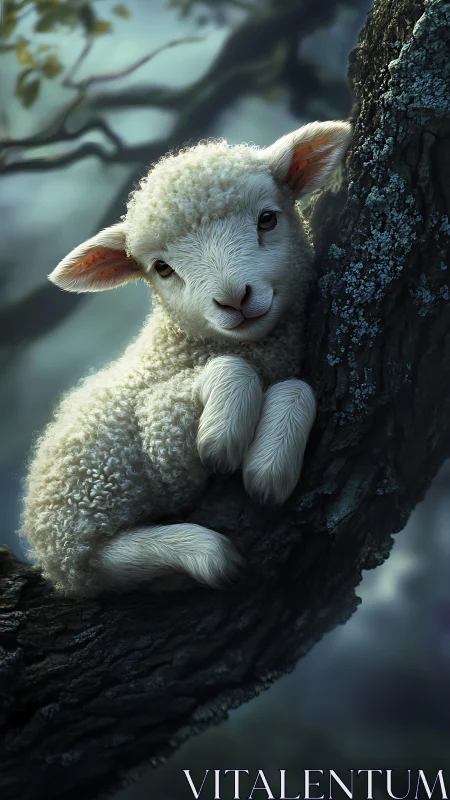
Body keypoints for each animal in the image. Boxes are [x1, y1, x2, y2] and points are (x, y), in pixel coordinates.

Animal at [20, 120, 352, 597]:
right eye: (162, 268)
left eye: (267, 218)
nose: (234, 299)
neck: (180, 345)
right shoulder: (161, 440)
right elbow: (232, 374)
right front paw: (223, 442)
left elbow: (296, 387)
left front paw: (269, 468)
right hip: (81, 512)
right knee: (104, 564)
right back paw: (204, 553)